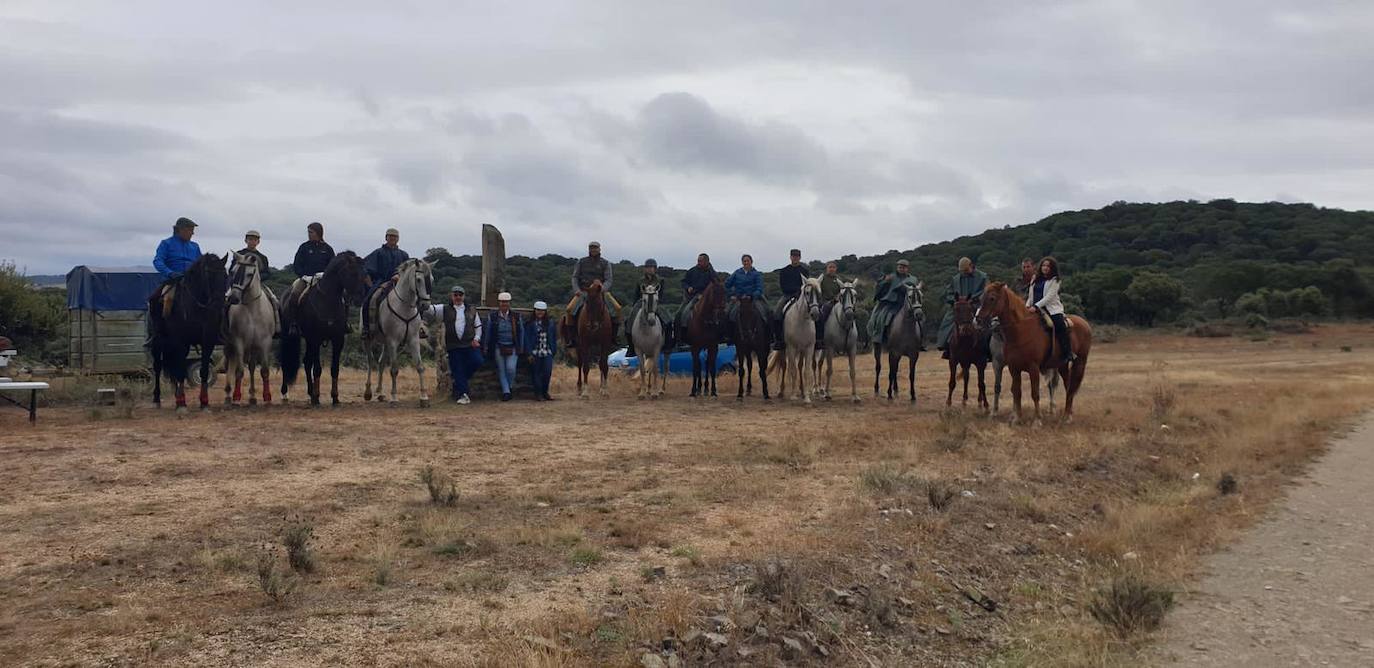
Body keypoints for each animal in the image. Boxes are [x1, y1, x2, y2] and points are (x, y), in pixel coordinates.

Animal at [148, 252, 226, 412]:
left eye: (225, 276)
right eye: (208, 276)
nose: (218, 304)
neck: (197, 306)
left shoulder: (207, 341)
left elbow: (203, 370)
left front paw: (204, 403)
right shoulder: (181, 342)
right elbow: (181, 370)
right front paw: (182, 404)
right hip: (158, 341)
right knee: (158, 367)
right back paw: (157, 399)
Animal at [223, 251, 277, 404]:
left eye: (249, 274)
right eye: (233, 271)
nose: (234, 298)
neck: (252, 309)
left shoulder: (265, 342)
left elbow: (264, 371)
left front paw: (267, 397)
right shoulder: (238, 341)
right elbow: (239, 371)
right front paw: (236, 397)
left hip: (253, 347)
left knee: (252, 367)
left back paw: (252, 396)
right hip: (231, 345)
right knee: (231, 364)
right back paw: (228, 394)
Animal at [278, 251, 368, 404]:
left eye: (363, 272)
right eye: (352, 273)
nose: (359, 298)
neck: (327, 300)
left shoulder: (338, 340)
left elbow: (334, 369)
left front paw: (335, 397)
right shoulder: (316, 339)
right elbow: (318, 369)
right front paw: (317, 397)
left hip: (308, 340)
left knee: (307, 362)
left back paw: (310, 392)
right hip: (290, 337)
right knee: (288, 361)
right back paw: (286, 393)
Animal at [362, 258, 431, 406]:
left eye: (431, 279)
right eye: (418, 280)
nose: (425, 305)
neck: (404, 307)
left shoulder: (413, 340)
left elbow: (420, 366)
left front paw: (424, 397)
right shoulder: (393, 341)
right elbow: (394, 370)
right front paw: (394, 397)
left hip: (385, 343)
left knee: (381, 362)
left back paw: (380, 393)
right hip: (369, 340)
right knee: (370, 361)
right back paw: (368, 392)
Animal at [978, 281, 1093, 423]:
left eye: (992, 298)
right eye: (981, 298)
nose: (978, 319)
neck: (1021, 331)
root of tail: (1084, 323)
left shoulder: (1033, 368)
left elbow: (1035, 393)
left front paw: (1037, 419)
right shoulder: (1013, 368)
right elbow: (1017, 392)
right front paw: (1017, 418)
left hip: (1080, 361)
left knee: (1070, 386)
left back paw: (1067, 416)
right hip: (1062, 365)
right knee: (1068, 385)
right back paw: (1067, 414)